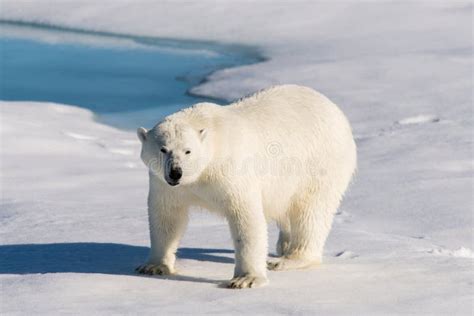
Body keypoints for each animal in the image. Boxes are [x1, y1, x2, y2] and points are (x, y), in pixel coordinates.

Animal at [136, 84, 356, 288]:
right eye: (163, 149)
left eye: (188, 151)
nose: (176, 172)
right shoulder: (166, 185)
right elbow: (167, 216)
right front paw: (154, 266)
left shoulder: (232, 171)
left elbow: (246, 218)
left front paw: (246, 279)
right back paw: (283, 246)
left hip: (320, 163)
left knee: (311, 211)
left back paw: (288, 260)